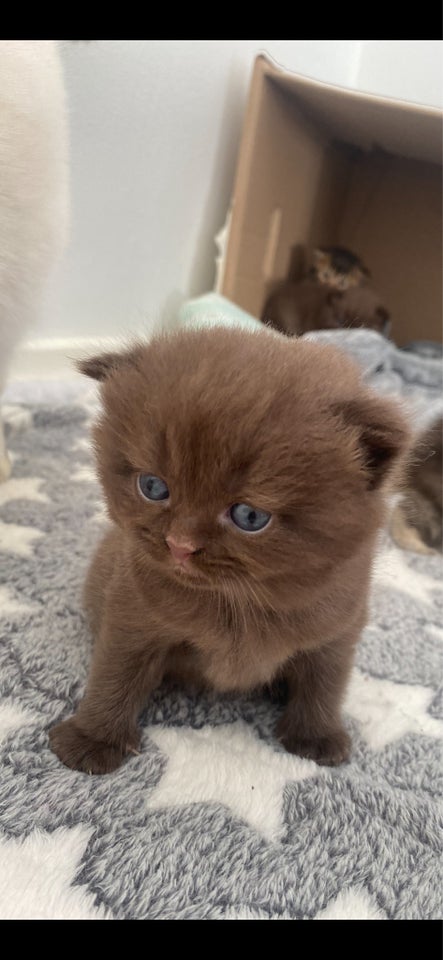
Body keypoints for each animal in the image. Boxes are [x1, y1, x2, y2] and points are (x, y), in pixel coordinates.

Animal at [48, 326, 410, 776]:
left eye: (249, 516)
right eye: (153, 486)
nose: (180, 546)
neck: (238, 604)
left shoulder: (339, 626)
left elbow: (325, 682)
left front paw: (317, 736)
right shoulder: (132, 612)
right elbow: (115, 673)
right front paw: (91, 740)